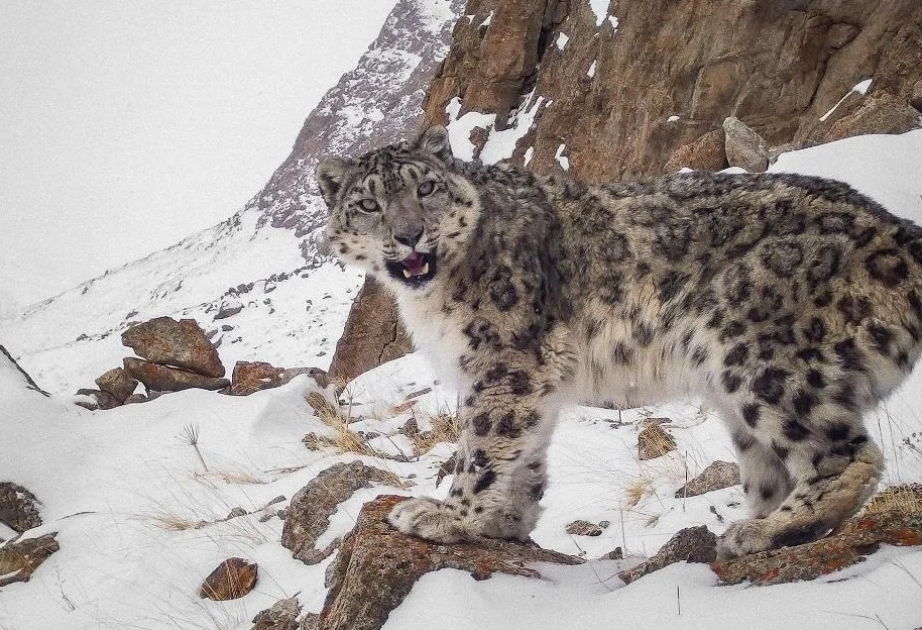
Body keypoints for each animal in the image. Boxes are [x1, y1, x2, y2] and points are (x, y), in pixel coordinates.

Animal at [317, 125, 922, 559]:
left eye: (426, 188)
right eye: (369, 205)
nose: (409, 234)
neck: (431, 299)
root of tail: (898, 228)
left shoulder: (506, 361)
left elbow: (484, 444)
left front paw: (449, 516)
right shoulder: (526, 378)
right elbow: (526, 453)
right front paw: (501, 523)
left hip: (763, 359)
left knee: (848, 455)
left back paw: (767, 533)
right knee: (775, 466)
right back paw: (751, 527)